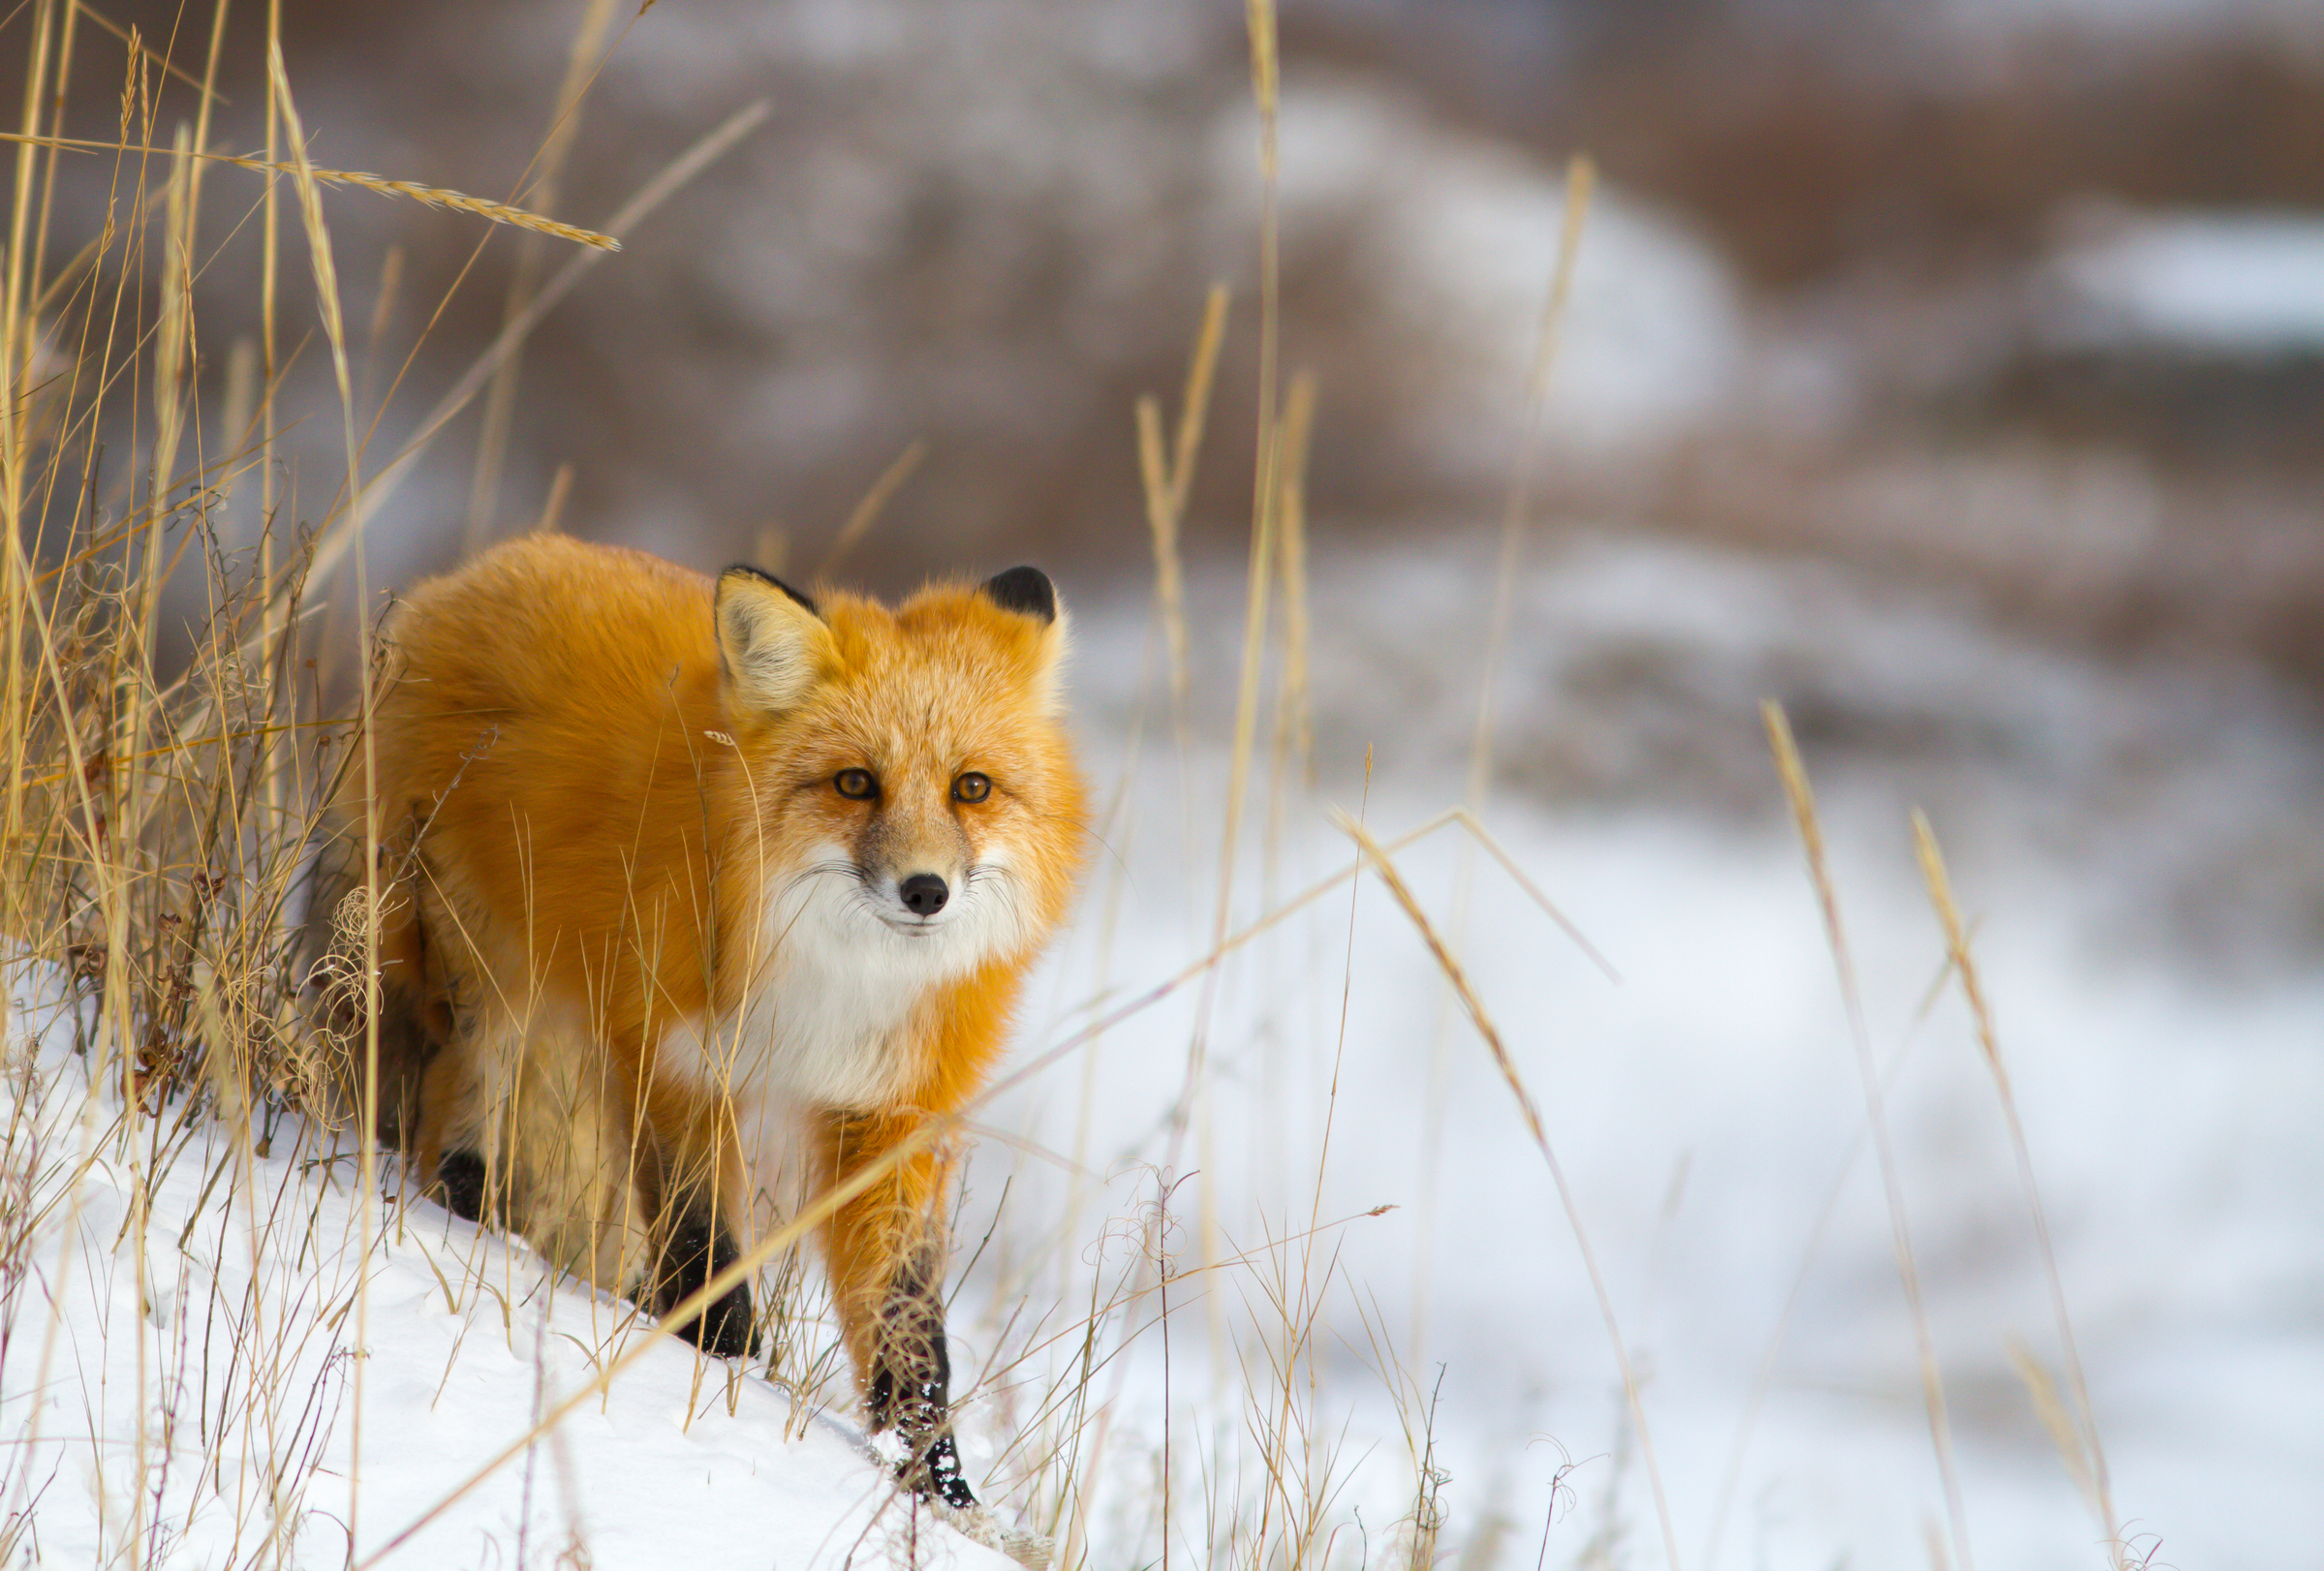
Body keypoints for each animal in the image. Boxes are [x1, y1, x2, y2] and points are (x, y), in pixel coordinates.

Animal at [306, 534, 1087, 1505]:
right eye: (855, 784)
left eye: (971, 787)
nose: (925, 891)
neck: (836, 977)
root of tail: (468, 574)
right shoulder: (676, 1058)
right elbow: (705, 1253)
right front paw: (722, 1387)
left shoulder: (888, 1115)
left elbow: (909, 1335)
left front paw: (937, 1490)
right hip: (487, 988)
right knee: (455, 1129)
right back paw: (476, 1226)